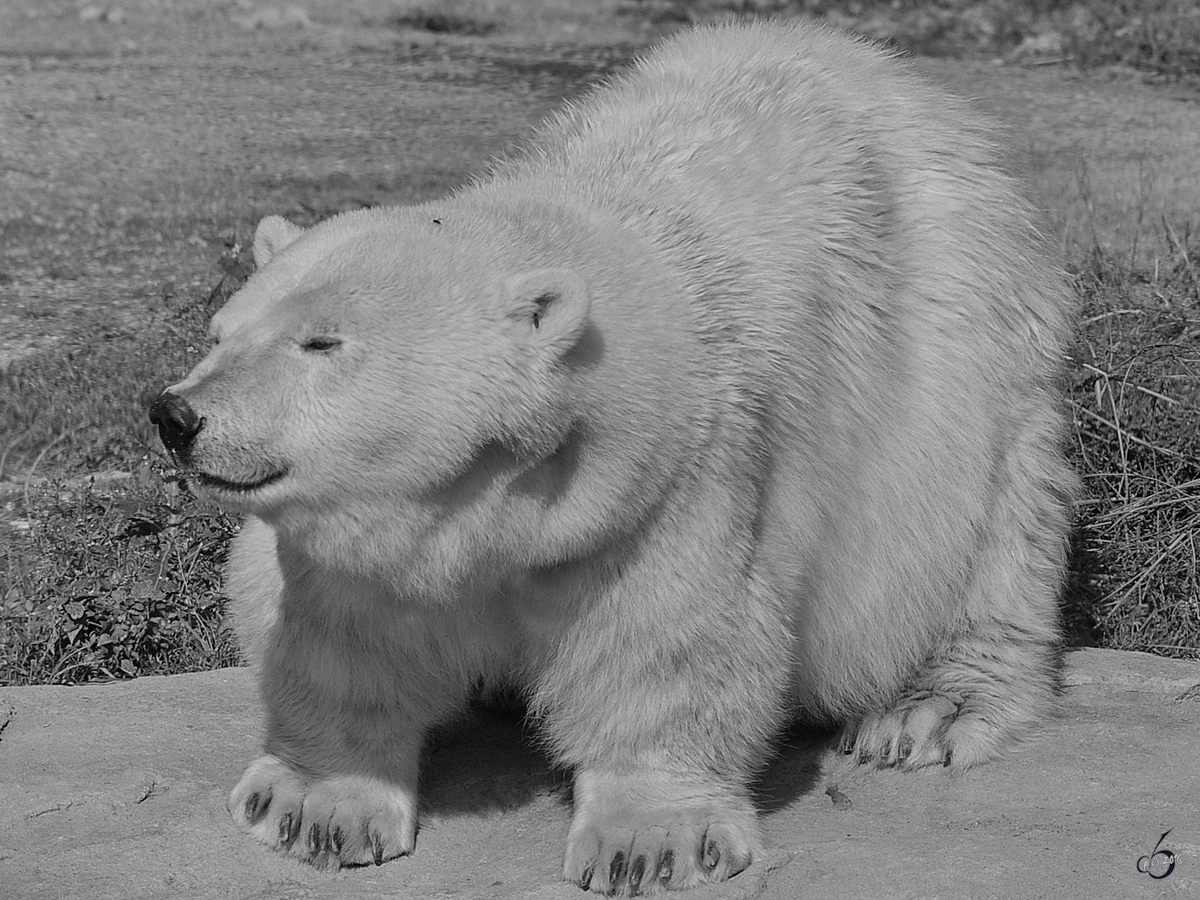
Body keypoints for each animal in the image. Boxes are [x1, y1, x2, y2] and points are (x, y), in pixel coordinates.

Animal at [150, 17, 1080, 897]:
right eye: (222, 333)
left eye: (322, 342)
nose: (176, 415)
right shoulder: (363, 537)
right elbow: (337, 632)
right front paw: (313, 807)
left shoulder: (669, 485)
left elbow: (665, 638)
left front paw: (652, 843)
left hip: (967, 351)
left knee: (989, 531)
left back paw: (927, 711)